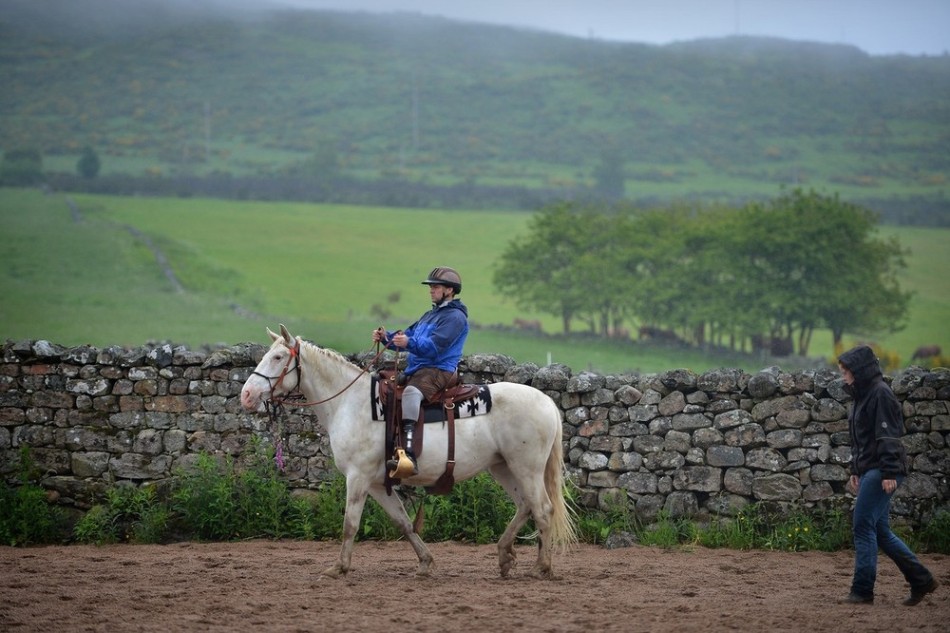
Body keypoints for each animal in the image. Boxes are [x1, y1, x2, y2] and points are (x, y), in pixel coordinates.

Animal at [242, 326, 576, 576]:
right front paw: (425, 562)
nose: (246, 395)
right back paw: (505, 556)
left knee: (542, 509)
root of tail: (547, 401)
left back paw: (542, 567)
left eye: (278, 356)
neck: (352, 403)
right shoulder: (377, 483)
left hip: (526, 467)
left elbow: (350, 524)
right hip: (503, 467)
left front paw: (339, 567)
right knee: (525, 505)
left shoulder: (358, 477)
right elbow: (402, 522)